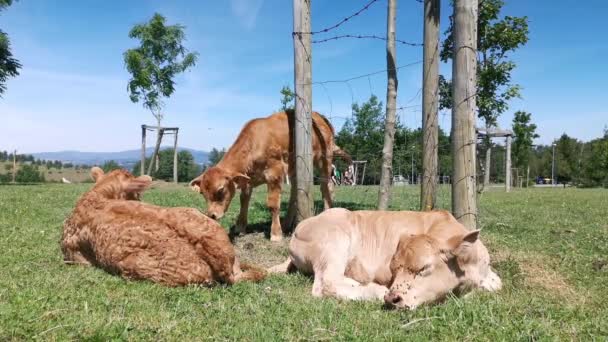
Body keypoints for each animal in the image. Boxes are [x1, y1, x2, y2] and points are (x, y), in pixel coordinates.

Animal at [190, 111, 352, 242]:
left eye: (221, 190)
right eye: (202, 193)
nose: (211, 216)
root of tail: (320, 116)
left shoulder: (275, 172)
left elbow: (273, 204)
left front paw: (275, 234)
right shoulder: (247, 179)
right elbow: (244, 201)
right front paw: (240, 227)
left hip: (325, 158)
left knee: (326, 186)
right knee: (295, 191)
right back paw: (286, 223)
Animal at [270, 208, 504, 310]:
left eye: (424, 268)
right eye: (394, 268)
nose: (393, 298)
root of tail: (300, 226)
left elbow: (497, 284)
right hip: (334, 239)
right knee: (326, 283)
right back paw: (373, 289)